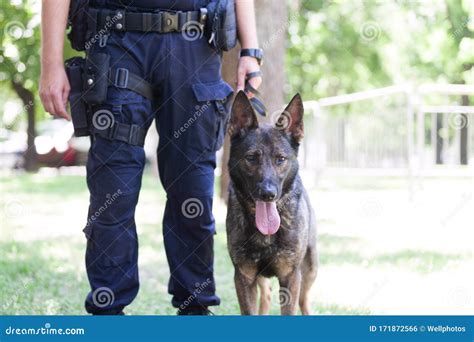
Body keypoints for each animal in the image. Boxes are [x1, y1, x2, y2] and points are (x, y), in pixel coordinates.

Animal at [226, 91, 318, 316]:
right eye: (251, 157)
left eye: (281, 159)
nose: (268, 194)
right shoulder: (244, 277)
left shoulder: (290, 277)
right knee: (266, 296)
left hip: (310, 270)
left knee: (304, 300)